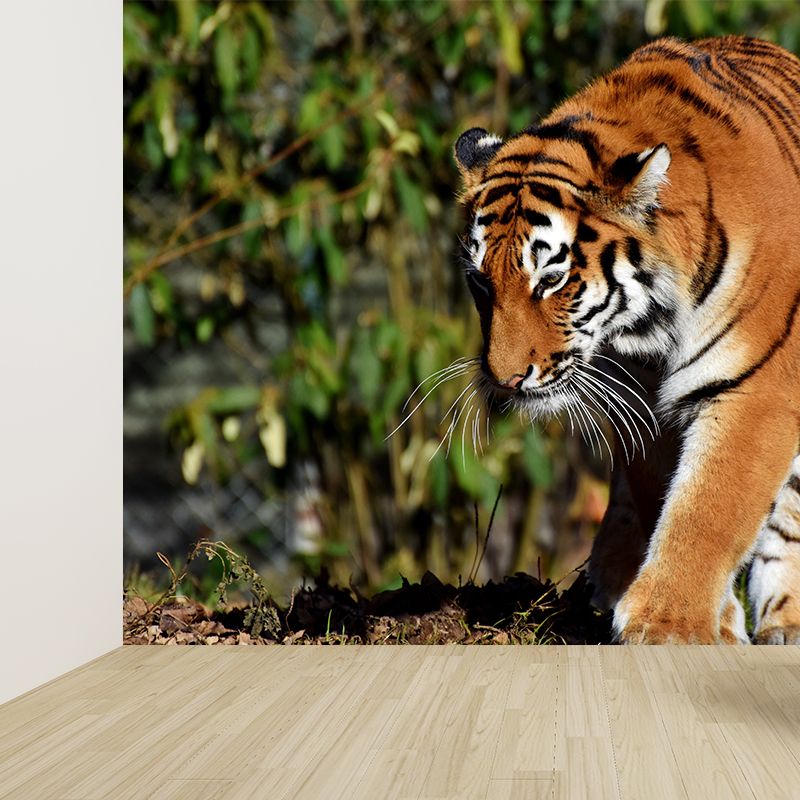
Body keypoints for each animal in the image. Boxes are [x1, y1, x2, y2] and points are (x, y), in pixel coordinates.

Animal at [452, 35, 800, 644]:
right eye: (480, 282)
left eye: (552, 278)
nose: (505, 379)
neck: (647, 331)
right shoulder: (641, 401)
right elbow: (662, 496)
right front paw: (711, 620)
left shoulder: (757, 388)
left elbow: (710, 507)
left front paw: (668, 624)